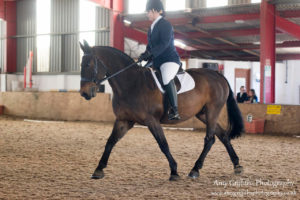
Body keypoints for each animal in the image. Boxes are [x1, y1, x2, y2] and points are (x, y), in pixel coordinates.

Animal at [78, 41, 244, 181]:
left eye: (88, 64)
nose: (84, 93)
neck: (131, 83)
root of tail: (218, 75)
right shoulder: (124, 120)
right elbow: (110, 142)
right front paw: (98, 169)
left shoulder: (152, 121)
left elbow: (163, 144)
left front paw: (174, 171)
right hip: (203, 114)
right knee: (223, 136)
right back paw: (237, 165)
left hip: (212, 111)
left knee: (210, 139)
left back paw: (195, 169)